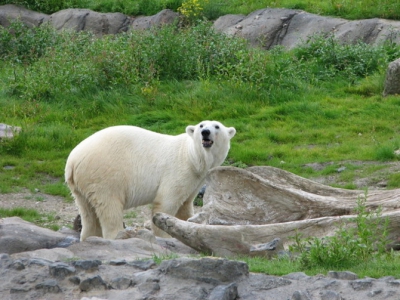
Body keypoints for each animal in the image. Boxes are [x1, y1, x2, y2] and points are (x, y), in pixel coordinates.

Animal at [64, 120, 236, 240]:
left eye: (217, 126)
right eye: (201, 125)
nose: (205, 132)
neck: (192, 156)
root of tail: (72, 160)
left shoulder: (195, 180)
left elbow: (185, 206)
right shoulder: (178, 170)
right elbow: (166, 203)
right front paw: (166, 235)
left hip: (81, 185)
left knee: (88, 212)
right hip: (104, 175)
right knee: (109, 207)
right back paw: (117, 235)